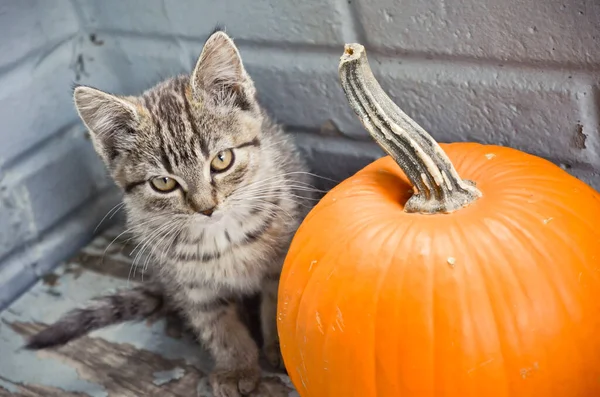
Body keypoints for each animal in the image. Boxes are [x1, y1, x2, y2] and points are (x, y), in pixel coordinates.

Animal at [24, 28, 314, 396]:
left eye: (222, 160)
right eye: (163, 183)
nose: (206, 208)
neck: (223, 237)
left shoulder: (281, 260)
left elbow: (278, 305)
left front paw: (279, 348)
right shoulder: (192, 287)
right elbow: (218, 326)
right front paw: (236, 365)